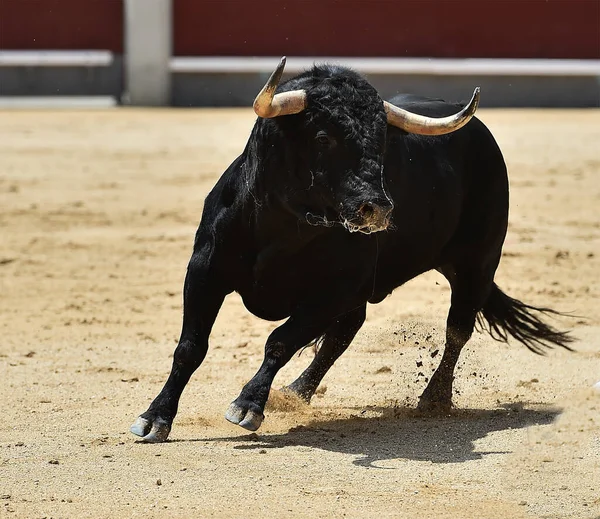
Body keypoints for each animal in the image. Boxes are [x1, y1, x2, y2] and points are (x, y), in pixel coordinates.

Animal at [130, 61, 572, 442]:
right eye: (323, 138)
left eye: (382, 141)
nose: (377, 208)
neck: (281, 226)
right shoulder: (205, 271)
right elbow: (190, 347)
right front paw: (154, 418)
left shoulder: (334, 290)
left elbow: (280, 340)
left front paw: (247, 405)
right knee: (345, 333)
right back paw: (295, 393)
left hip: (477, 261)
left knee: (456, 328)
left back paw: (433, 399)